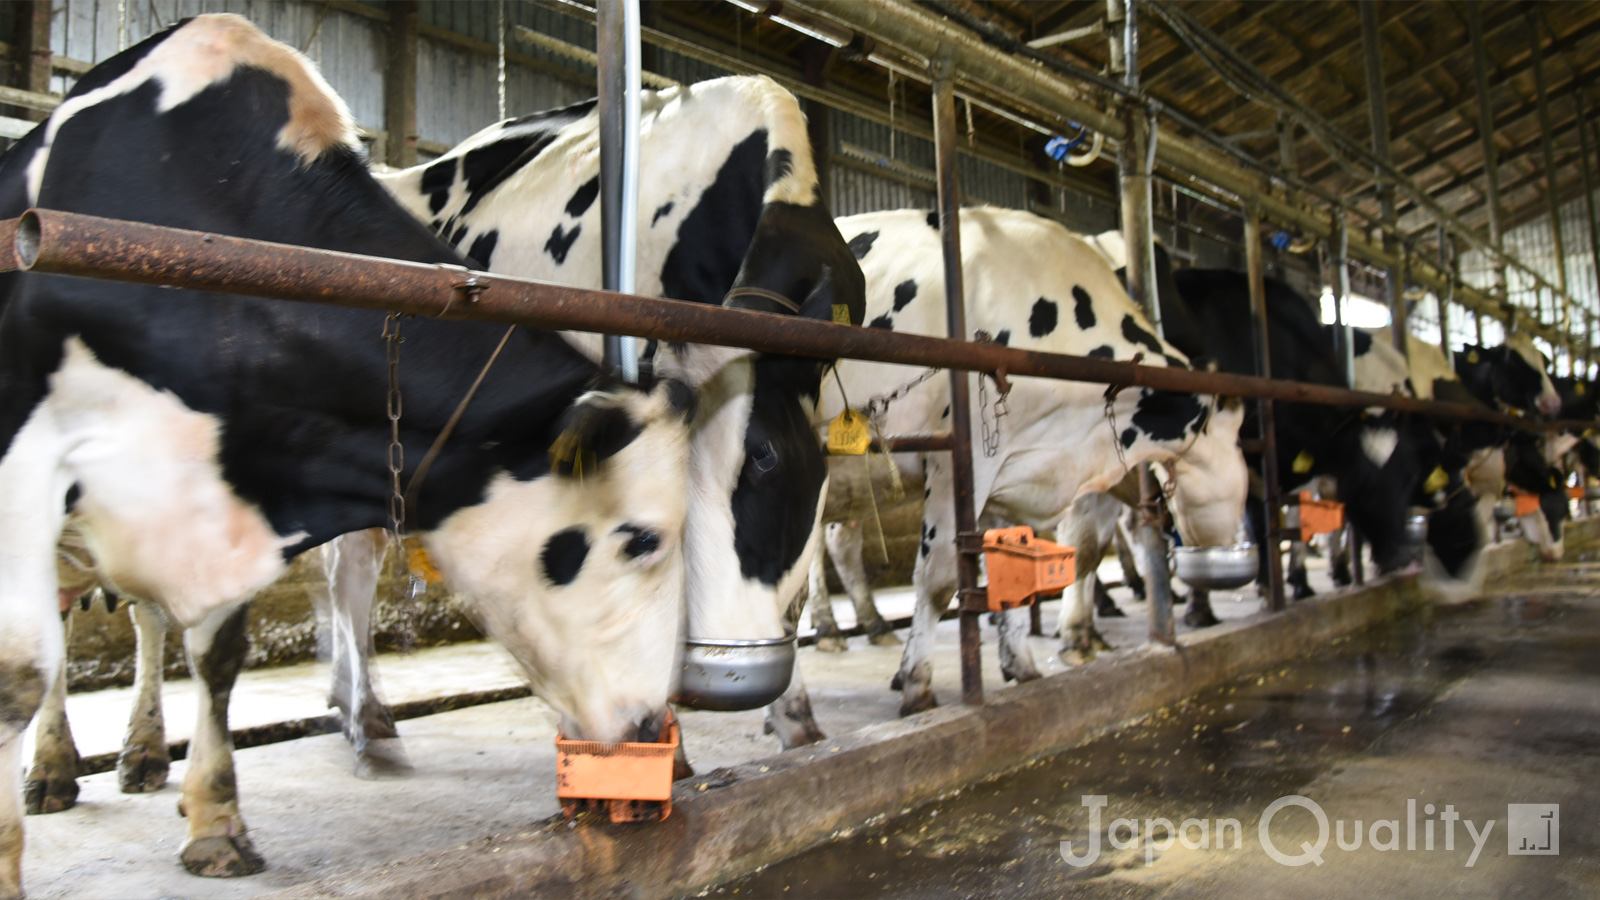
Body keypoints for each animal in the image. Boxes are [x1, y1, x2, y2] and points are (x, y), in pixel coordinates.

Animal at [825, 206, 1248, 711]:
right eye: (1240, 442)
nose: (1228, 535)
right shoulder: (961, 458)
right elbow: (939, 578)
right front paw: (917, 683)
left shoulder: (1011, 475)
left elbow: (1009, 569)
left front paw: (1022, 667)